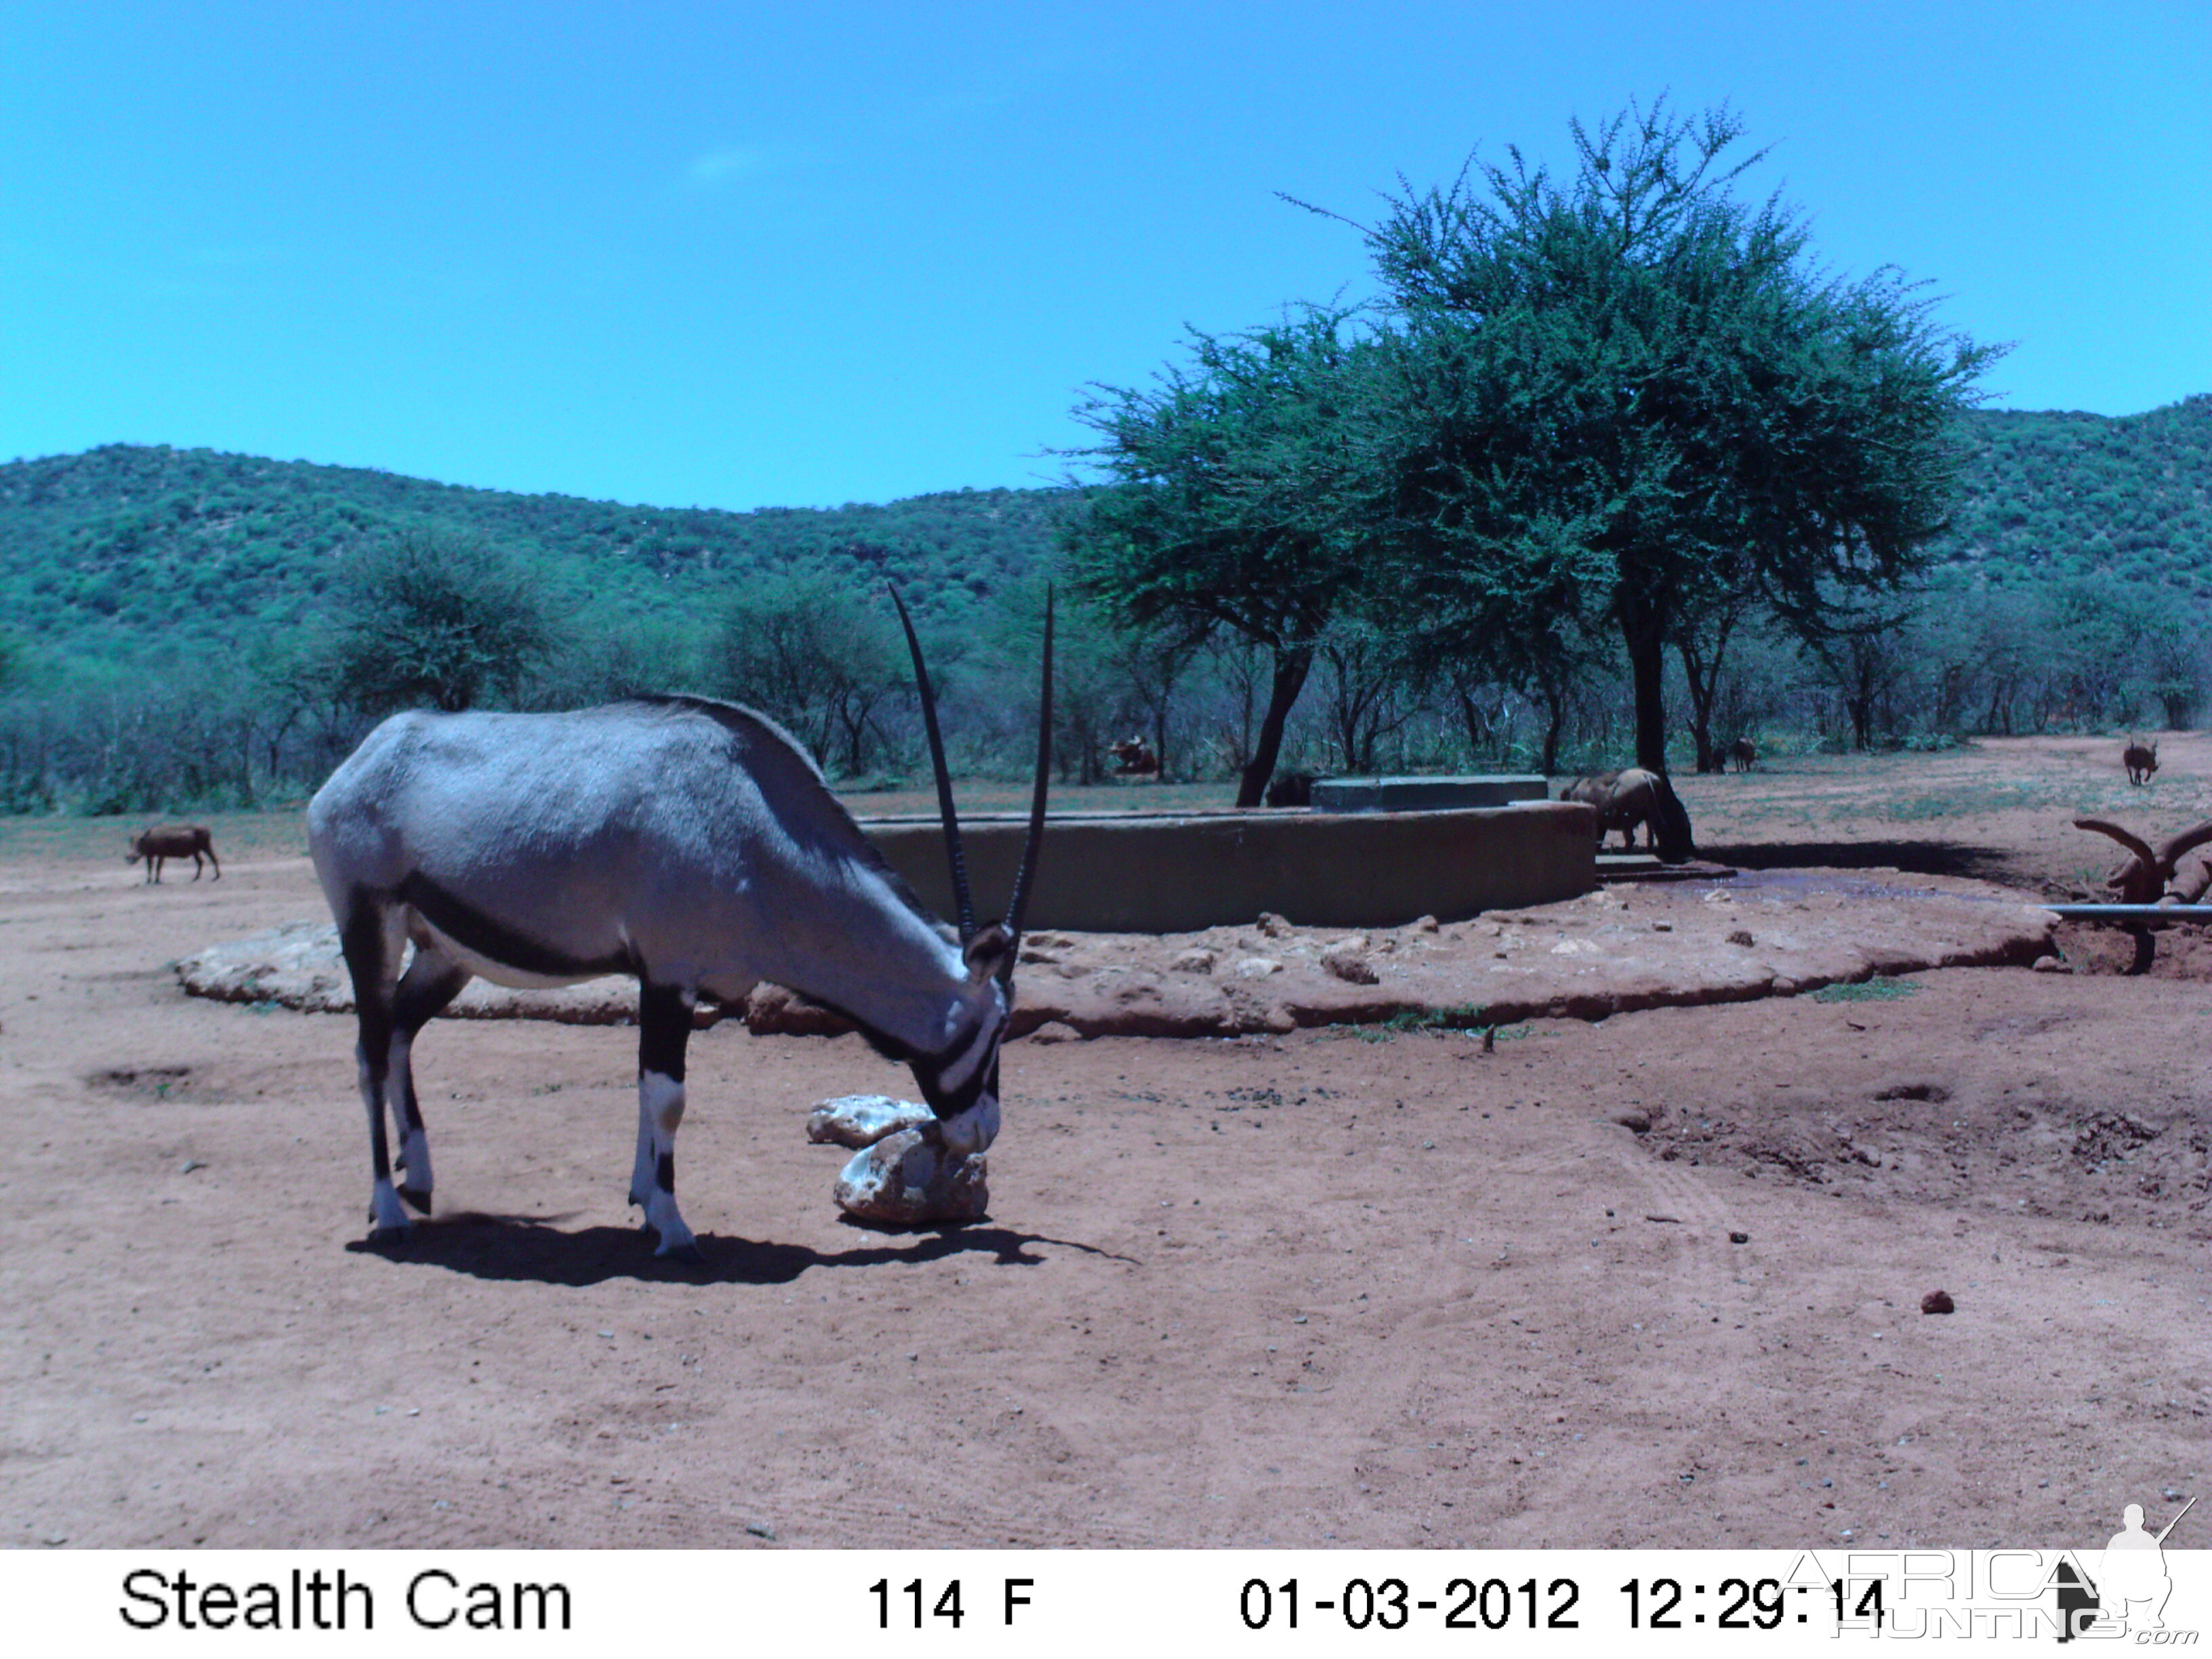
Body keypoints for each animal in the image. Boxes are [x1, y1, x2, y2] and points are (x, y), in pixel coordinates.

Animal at [128, 827, 221, 884]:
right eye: (132, 843)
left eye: (140, 843)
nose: (130, 858)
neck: (149, 839)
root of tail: (209, 831)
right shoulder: (150, 855)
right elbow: (150, 868)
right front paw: (148, 881)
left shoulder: (162, 855)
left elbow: (158, 867)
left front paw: (157, 881)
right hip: (196, 852)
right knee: (201, 862)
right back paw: (196, 878)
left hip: (206, 847)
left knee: (214, 859)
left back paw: (216, 877)